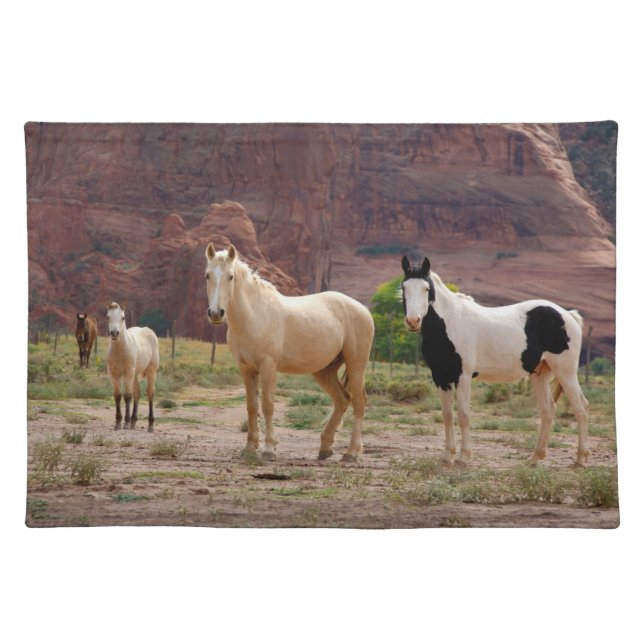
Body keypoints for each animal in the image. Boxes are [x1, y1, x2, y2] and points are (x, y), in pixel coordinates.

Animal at [105, 300, 160, 430]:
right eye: (108, 317)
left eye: (123, 317)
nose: (114, 333)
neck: (120, 351)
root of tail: (149, 331)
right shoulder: (112, 373)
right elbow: (117, 395)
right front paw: (118, 422)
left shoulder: (128, 372)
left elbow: (127, 396)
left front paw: (125, 422)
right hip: (135, 374)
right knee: (137, 393)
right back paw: (133, 421)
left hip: (151, 371)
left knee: (150, 393)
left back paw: (150, 424)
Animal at [204, 243, 375, 462]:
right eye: (208, 275)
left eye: (230, 276)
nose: (216, 313)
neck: (254, 315)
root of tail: (363, 310)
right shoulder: (246, 369)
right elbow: (252, 407)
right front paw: (249, 448)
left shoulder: (268, 366)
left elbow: (267, 405)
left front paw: (269, 449)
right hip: (324, 371)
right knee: (342, 400)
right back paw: (325, 448)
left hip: (356, 365)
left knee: (359, 402)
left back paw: (351, 453)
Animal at [400, 255, 590, 468]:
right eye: (404, 287)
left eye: (426, 288)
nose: (413, 321)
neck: (449, 323)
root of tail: (568, 314)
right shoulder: (441, 378)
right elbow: (447, 416)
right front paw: (447, 456)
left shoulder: (463, 376)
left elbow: (463, 415)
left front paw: (464, 457)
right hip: (540, 374)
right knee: (548, 410)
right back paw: (534, 458)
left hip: (566, 372)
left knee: (580, 407)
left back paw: (580, 460)